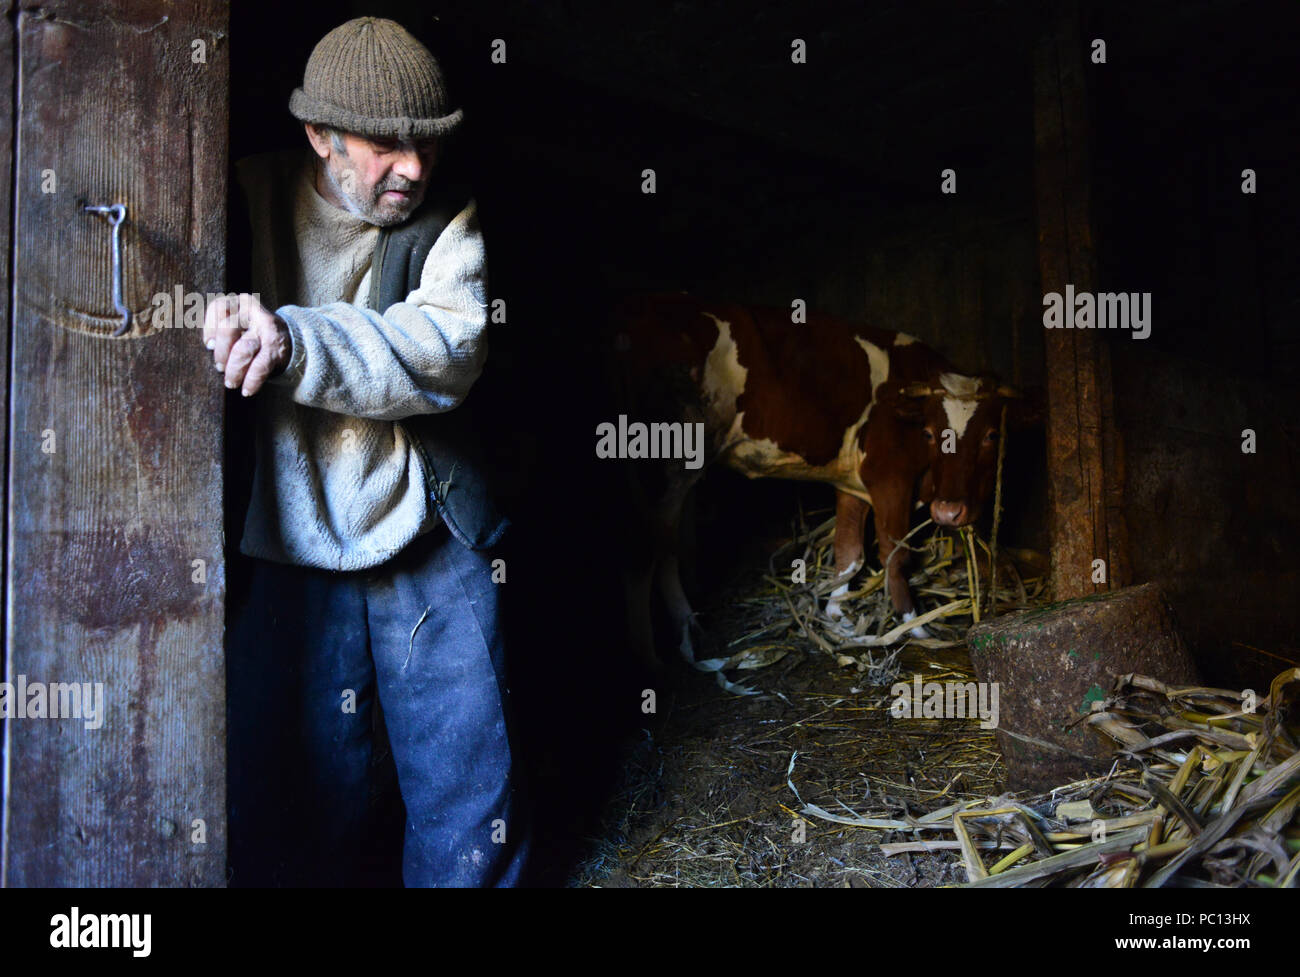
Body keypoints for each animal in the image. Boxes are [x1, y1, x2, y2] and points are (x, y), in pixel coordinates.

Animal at [608, 292, 1024, 670]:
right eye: (928, 433)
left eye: (991, 436)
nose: (949, 512)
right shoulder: (890, 479)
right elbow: (895, 555)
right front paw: (915, 625)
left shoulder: (853, 483)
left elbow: (849, 553)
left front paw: (837, 612)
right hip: (667, 464)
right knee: (643, 549)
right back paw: (652, 659)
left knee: (666, 546)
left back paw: (687, 629)